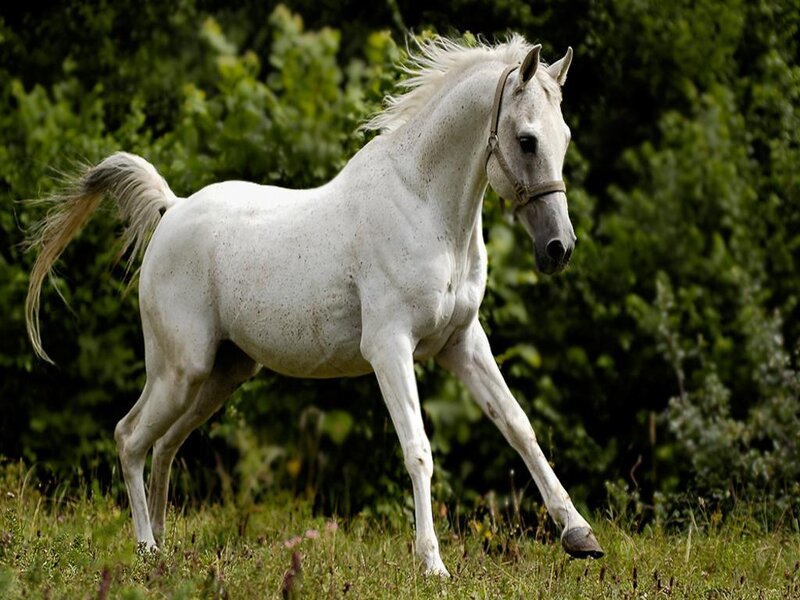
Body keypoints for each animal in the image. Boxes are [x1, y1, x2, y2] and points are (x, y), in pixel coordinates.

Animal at [25, 35, 603, 576]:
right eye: (527, 140)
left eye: (565, 137)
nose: (559, 248)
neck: (423, 205)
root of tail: (172, 209)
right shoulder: (390, 348)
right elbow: (418, 449)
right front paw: (433, 565)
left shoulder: (461, 343)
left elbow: (518, 425)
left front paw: (580, 536)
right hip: (180, 370)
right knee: (129, 438)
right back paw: (145, 549)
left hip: (222, 373)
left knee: (164, 444)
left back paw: (164, 547)